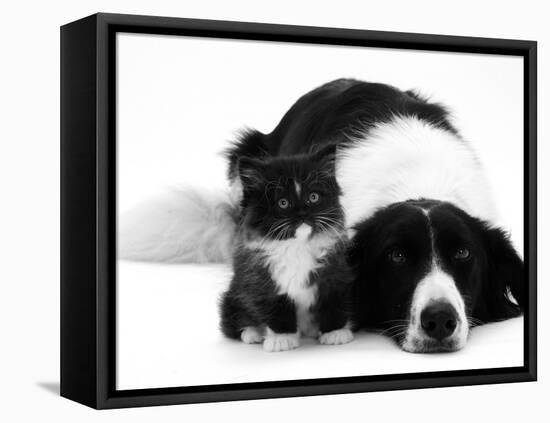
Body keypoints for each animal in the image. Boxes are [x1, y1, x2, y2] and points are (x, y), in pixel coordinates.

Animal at [220, 147, 354, 352]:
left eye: (313, 197)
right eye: (283, 203)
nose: (303, 213)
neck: (297, 246)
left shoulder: (335, 272)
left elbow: (332, 302)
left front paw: (335, 332)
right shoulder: (261, 280)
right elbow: (276, 307)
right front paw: (281, 339)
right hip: (233, 294)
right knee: (233, 321)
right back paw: (253, 333)